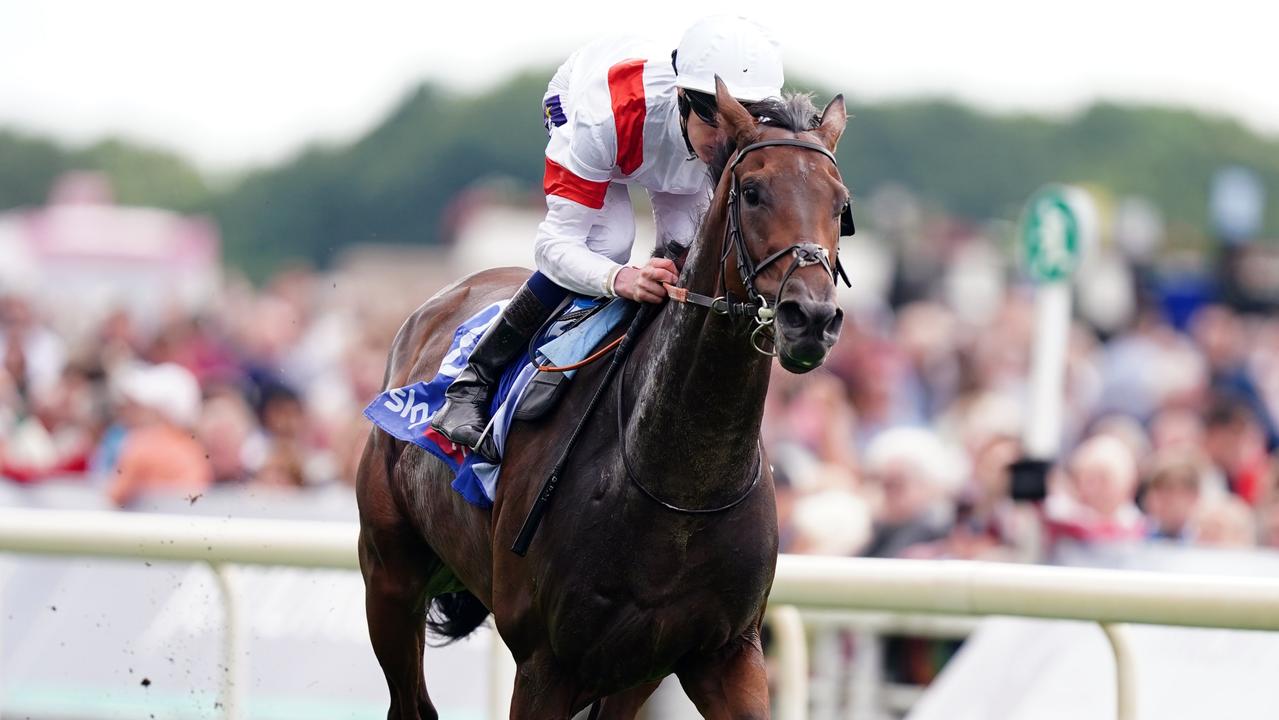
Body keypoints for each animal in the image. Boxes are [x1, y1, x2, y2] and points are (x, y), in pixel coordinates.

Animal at [355, 76, 849, 716]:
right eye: (753, 192)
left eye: (840, 205)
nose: (810, 319)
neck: (677, 485)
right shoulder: (544, 664)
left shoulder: (722, 653)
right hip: (390, 577)